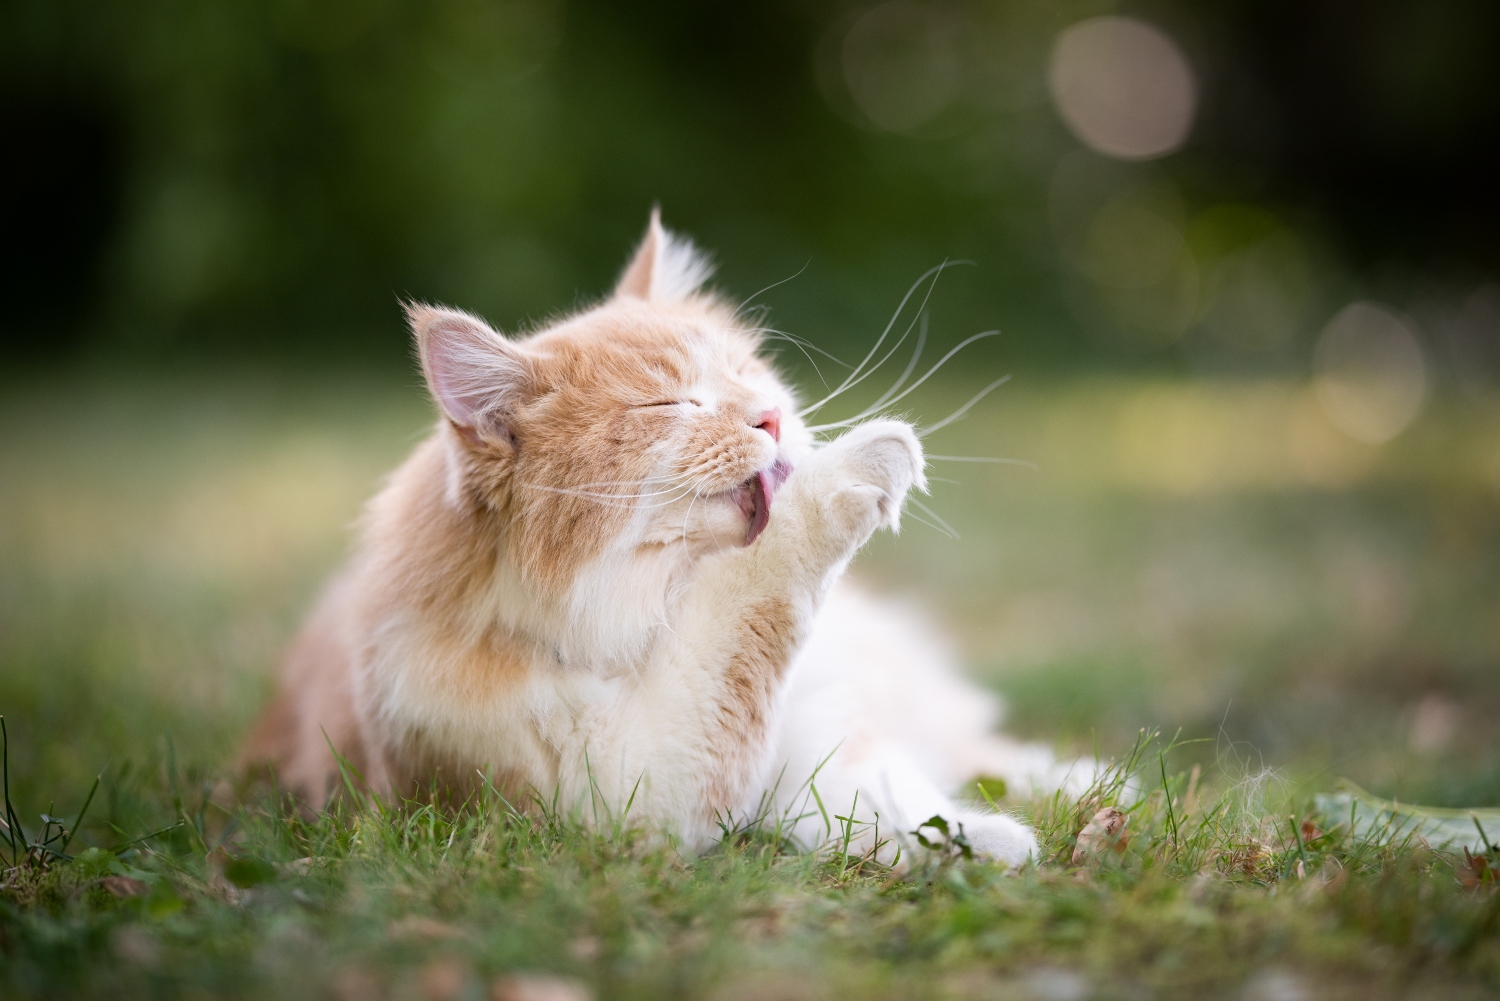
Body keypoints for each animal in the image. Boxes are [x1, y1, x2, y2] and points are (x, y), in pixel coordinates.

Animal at [249, 211, 1092, 870]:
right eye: (671, 405)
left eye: (747, 371)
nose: (772, 418)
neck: (653, 606)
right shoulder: (637, 791)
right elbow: (759, 590)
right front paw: (861, 465)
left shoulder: (807, 734)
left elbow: (897, 791)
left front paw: (990, 839)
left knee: (980, 744)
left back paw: (1087, 785)